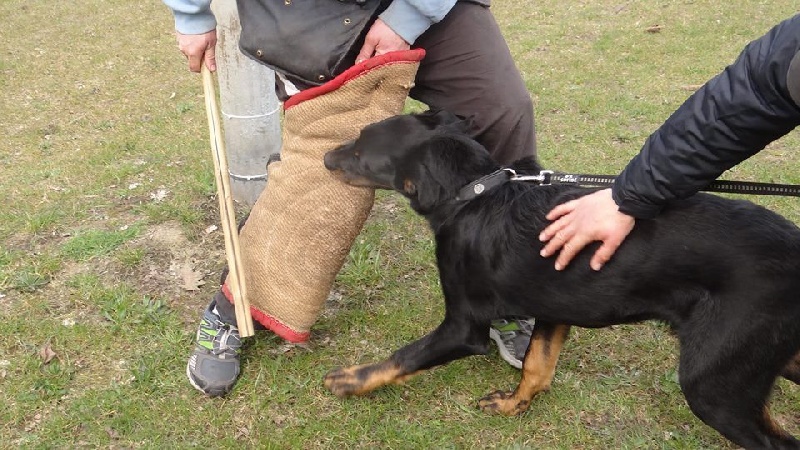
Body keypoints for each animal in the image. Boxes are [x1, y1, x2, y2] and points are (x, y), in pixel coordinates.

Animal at [320, 110, 800, 450]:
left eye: (361, 151)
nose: (325, 158)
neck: (475, 196)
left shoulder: (462, 327)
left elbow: (404, 356)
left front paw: (350, 380)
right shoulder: (552, 308)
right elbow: (537, 366)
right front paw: (513, 406)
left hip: (714, 385)